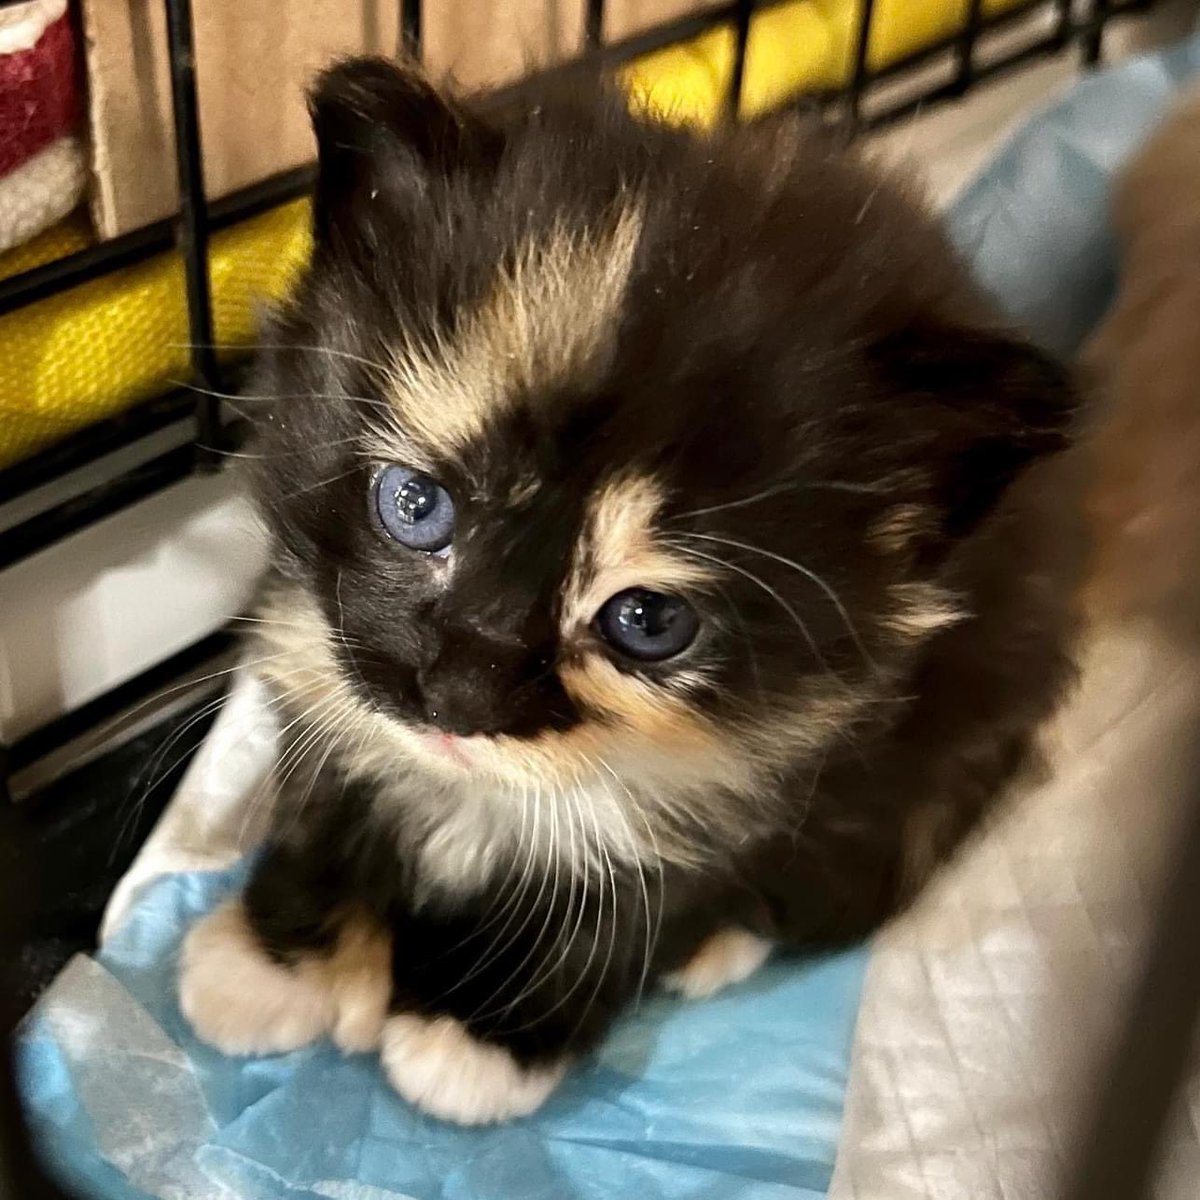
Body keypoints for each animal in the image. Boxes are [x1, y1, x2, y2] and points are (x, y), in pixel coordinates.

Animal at [175, 56, 1080, 1123]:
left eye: (648, 620)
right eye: (416, 505)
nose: (457, 699)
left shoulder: (756, 780)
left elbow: (632, 907)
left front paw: (483, 1036)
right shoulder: (314, 644)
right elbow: (322, 797)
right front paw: (273, 965)